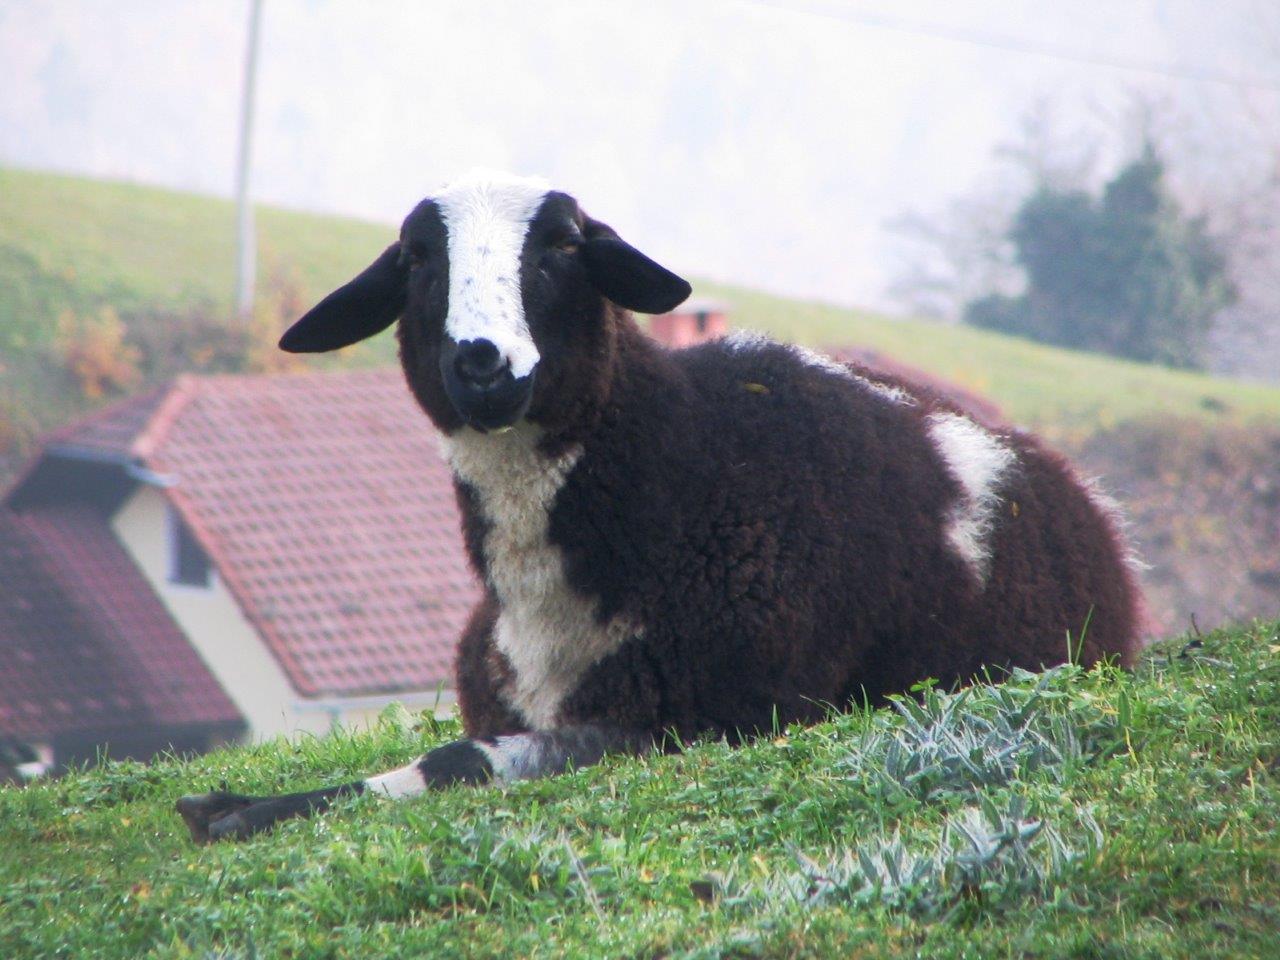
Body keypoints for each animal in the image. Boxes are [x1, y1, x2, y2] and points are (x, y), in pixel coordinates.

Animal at [172, 171, 1141, 839]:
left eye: (564, 246)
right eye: (417, 259)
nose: (482, 363)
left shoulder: (717, 718)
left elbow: (455, 760)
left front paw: (242, 811)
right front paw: (234, 804)